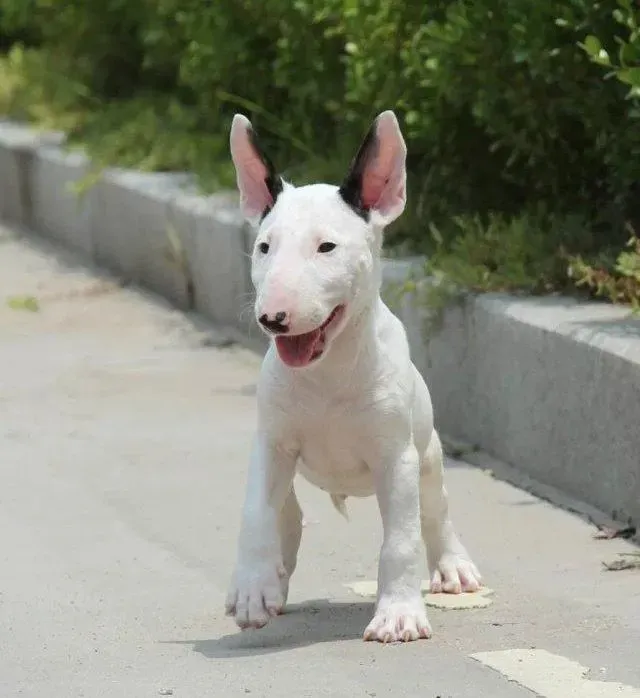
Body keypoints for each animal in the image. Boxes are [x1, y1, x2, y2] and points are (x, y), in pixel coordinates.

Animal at [224, 110, 480, 640]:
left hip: (427, 454)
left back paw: (453, 566)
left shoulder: (396, 457)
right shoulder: (272, 444)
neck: (328, 373)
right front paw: (253, 590)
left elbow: (400, 540)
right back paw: (275, 579)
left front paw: (399, 614)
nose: (272, 318)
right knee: (287, 517)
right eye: (263, 247)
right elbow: (255, 512)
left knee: (436, 509)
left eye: (327, 247)